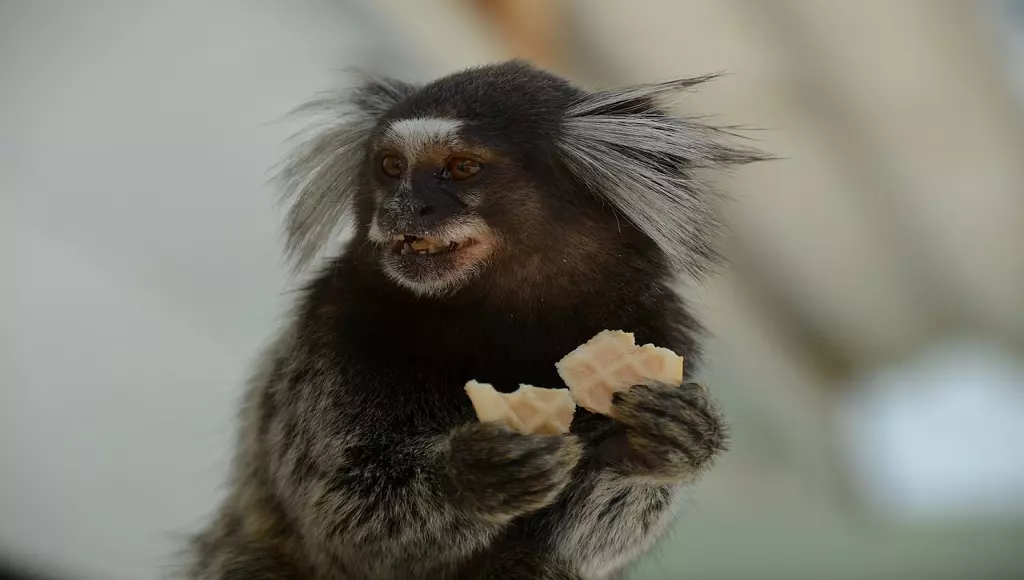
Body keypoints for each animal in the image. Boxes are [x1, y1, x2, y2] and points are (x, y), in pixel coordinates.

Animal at [186, 61, 761, 577]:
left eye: (462, 167)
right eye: (391, 166)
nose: (402, 208)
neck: (503, 318)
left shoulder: (661, 328)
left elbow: (580, 542)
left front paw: (663, 448)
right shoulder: (332, 325)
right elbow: (343, 513)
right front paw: (471, 476)